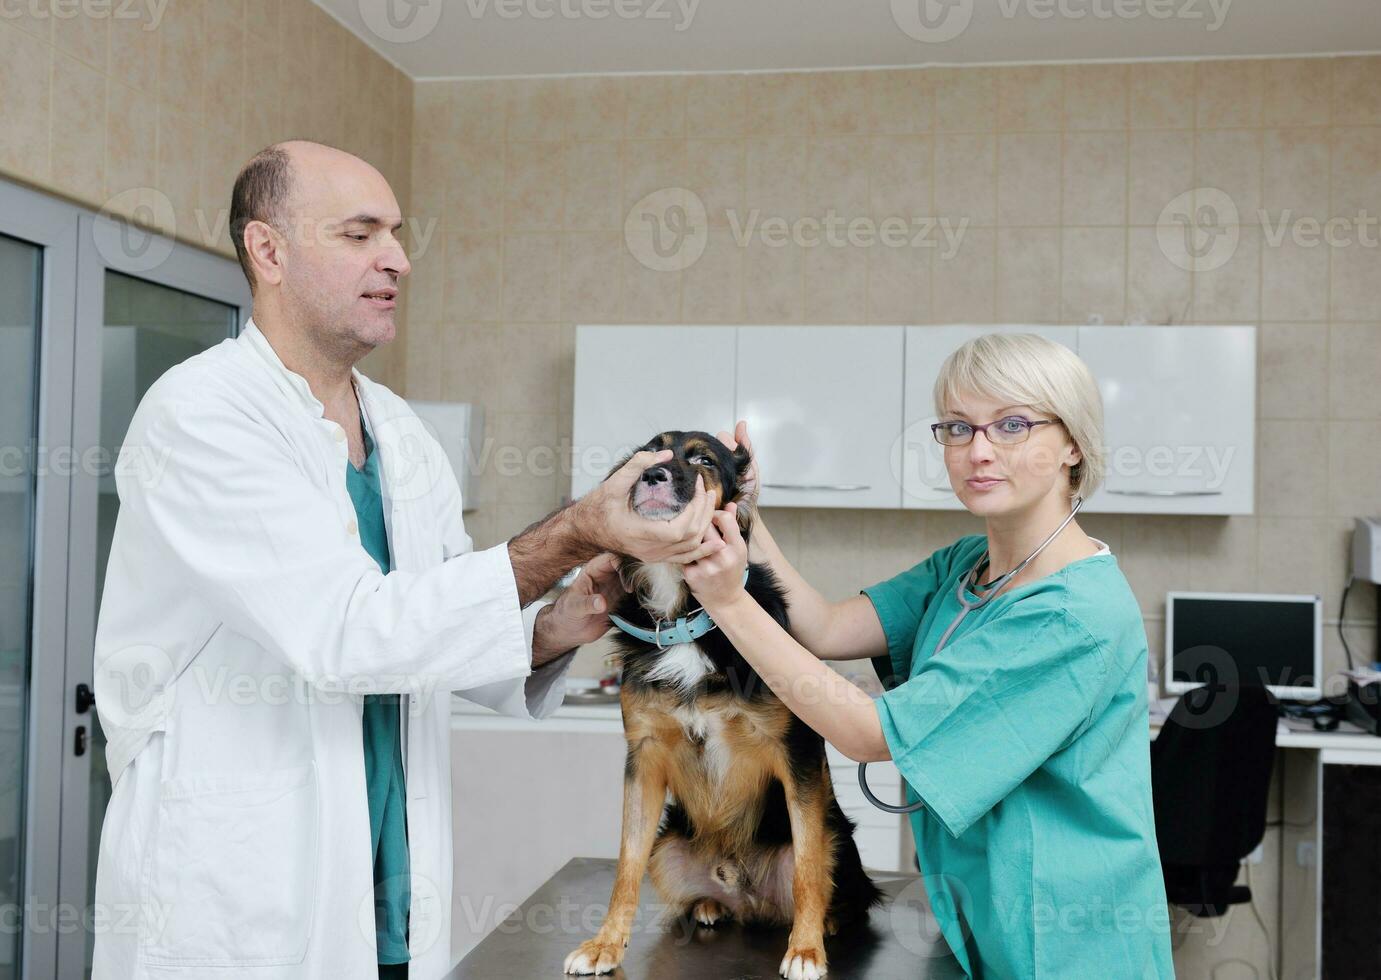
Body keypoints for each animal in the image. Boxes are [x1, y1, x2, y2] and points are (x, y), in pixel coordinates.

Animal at [563, 430, 878, 980]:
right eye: (649, 452)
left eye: (704, 459)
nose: (652, 475)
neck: (686, 616)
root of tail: (749, 893)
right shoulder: (643, 757)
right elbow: (625, 865)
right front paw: (605, 944)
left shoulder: (797, 755)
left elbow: (808, 869)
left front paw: (805, 949)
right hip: (669, 844)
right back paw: (710, 904)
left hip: (839, 833)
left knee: (832, 879)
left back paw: (829, 921)